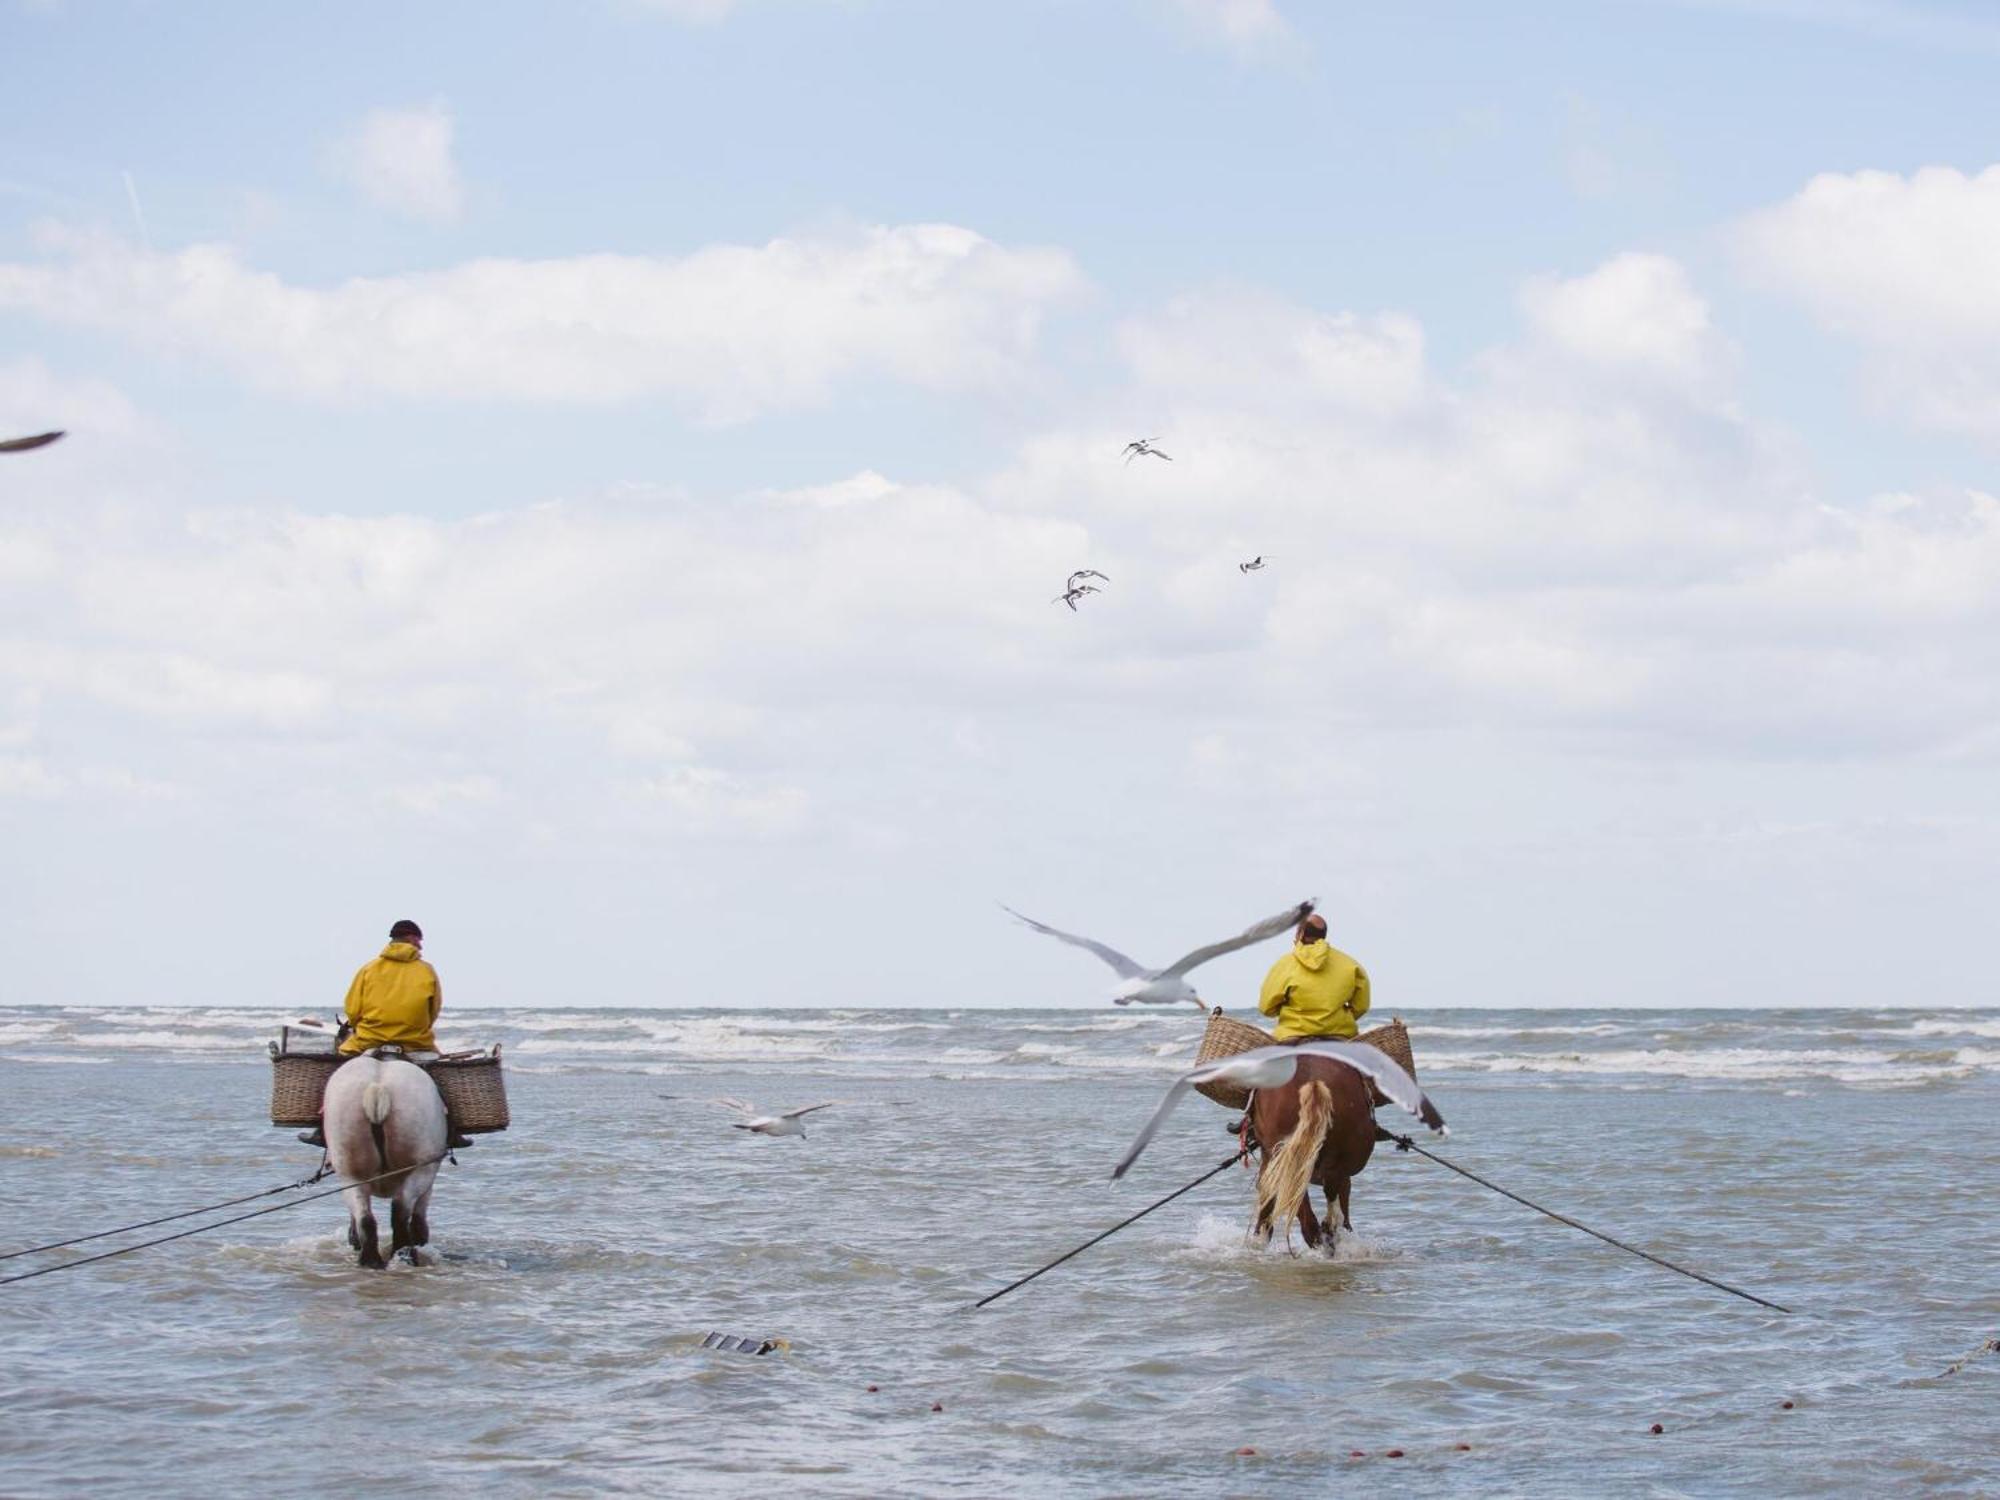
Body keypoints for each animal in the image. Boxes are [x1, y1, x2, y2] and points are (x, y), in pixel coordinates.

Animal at [324, 1056, 450, 1272]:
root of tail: (377, 1087)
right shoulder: (429, 1174)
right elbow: (420, 1212)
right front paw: (420, 1238)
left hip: (350, 1172)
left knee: (365, 1217)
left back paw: (372, 1260)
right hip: (420, 1169)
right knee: (400, 1211)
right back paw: (405, 1255)